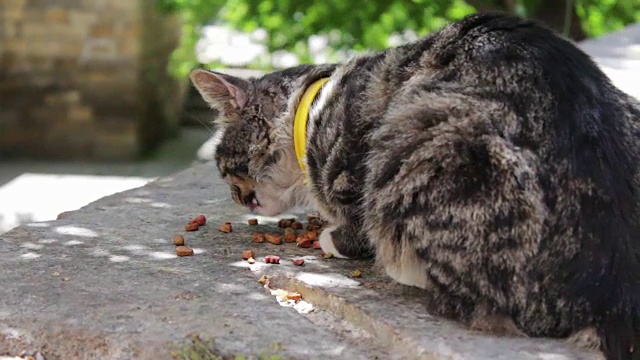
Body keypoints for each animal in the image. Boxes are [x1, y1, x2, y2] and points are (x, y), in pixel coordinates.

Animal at [189, 11, 640, 360]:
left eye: (223, 165)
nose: (235, 197)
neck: (309, 109)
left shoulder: (353, 164)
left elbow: (355, 221)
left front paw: (333, 237)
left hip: (429, 139)